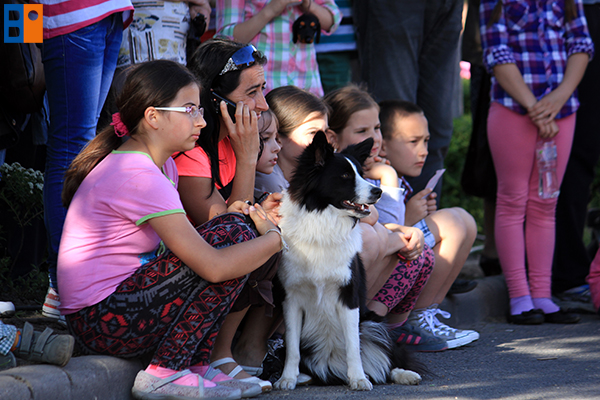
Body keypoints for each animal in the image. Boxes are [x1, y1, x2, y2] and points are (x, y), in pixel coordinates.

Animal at [274, 132, 420, 390]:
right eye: (344, 176)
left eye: (361, 173)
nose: (378, 192)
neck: (323, 223)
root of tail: (333, 365)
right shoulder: (290, 299)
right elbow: (292, 348)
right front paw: (287, 378)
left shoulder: (349, 297)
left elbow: (353, 345)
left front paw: (359, 379)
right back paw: (303, 377)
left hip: (374, 322)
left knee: (387, 359)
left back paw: (404, 374)